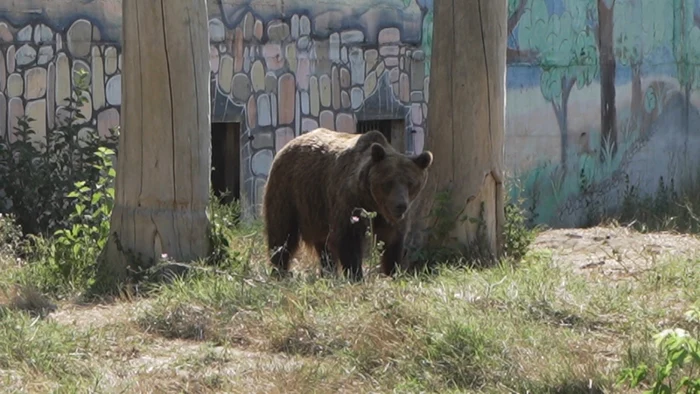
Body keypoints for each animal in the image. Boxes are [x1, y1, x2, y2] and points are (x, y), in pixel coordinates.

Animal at [262, 127, 432, 282]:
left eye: (411, 183)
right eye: (388, 183)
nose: (400, 205)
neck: (372, 202)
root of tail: (288, 144)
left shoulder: (391, 218)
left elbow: (393, 243)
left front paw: (393, 273)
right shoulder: (350, 202)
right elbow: (348, 240)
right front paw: (356, 276)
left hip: (317, 210)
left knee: (323, 246)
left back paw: (327, 273)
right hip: (289, 192)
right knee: (282, 232)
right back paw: (280, 271)